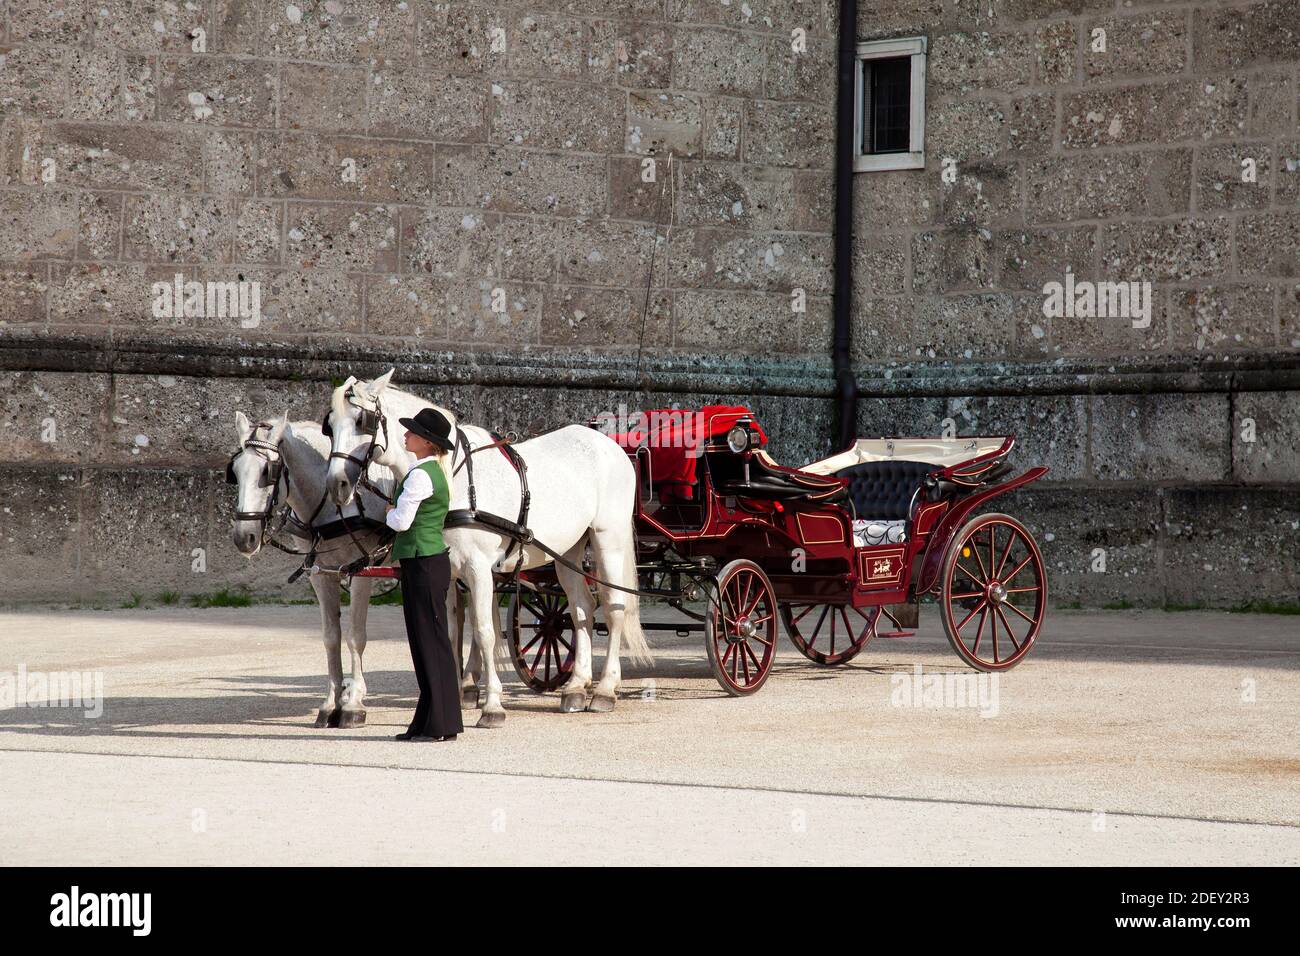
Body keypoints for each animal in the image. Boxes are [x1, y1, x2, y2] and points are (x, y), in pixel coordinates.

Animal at [228, 408, 392, 728]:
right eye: (235, 472)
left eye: (267, 473)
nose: (244, 537)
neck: (335, 504)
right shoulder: (320, 573)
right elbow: (331, 637)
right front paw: (332, 702)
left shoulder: (362, 568)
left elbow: (355, 635)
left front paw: (353, 703)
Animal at [325, 371, 650, 723]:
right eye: (329, 425)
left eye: (362, 421)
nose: (336, 485)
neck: (452, 476)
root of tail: (607, 442)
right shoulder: (451, 570)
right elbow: (454, 631)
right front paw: (460, 693)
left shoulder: (479, 567)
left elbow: (485, 631)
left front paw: (492, 704)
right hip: (568, 551)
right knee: (581, 610)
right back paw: (577, 686)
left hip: (609, 539)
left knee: (615, 608)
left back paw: (605, 689)